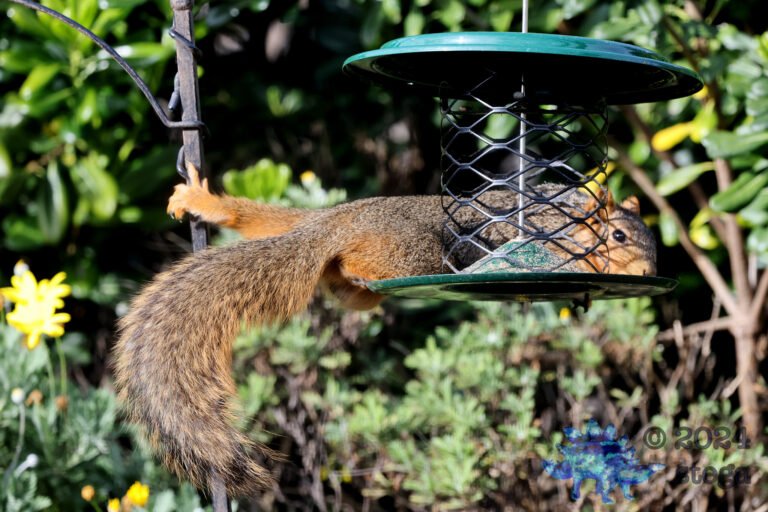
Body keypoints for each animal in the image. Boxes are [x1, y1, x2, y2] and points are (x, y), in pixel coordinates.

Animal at [112, 164, 657, 496]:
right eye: (618, 235)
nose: (651, 272)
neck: (570, 224)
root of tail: (334, 226)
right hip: (411, 253)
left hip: (320, 231)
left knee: (272, 223)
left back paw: (208, 203)